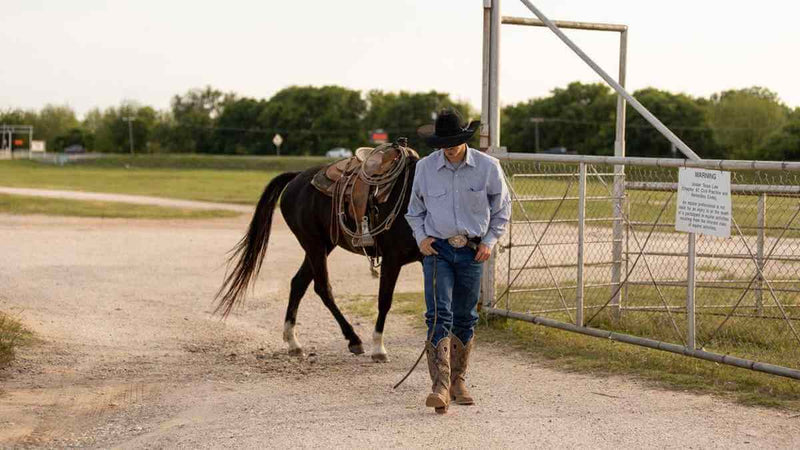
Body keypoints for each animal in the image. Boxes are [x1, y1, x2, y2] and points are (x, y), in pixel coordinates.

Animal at [216, 144, 422, 362]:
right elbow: (385, 300)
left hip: (322, 245)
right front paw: (378, 348)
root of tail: (297, 177)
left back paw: (293, 343)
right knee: (322, 288)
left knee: (298, 283)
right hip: (314, 244)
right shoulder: (392, 259)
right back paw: (353, 339)